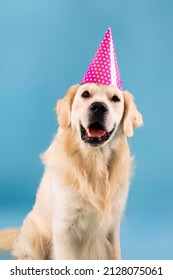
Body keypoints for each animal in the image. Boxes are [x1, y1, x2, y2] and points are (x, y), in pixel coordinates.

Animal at [0, 83, 143, 260]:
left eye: (115, 98)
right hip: (34, 236)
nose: (98, 107)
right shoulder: (64, 228)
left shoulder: (112, 226)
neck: (94, 163)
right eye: (85, 94)